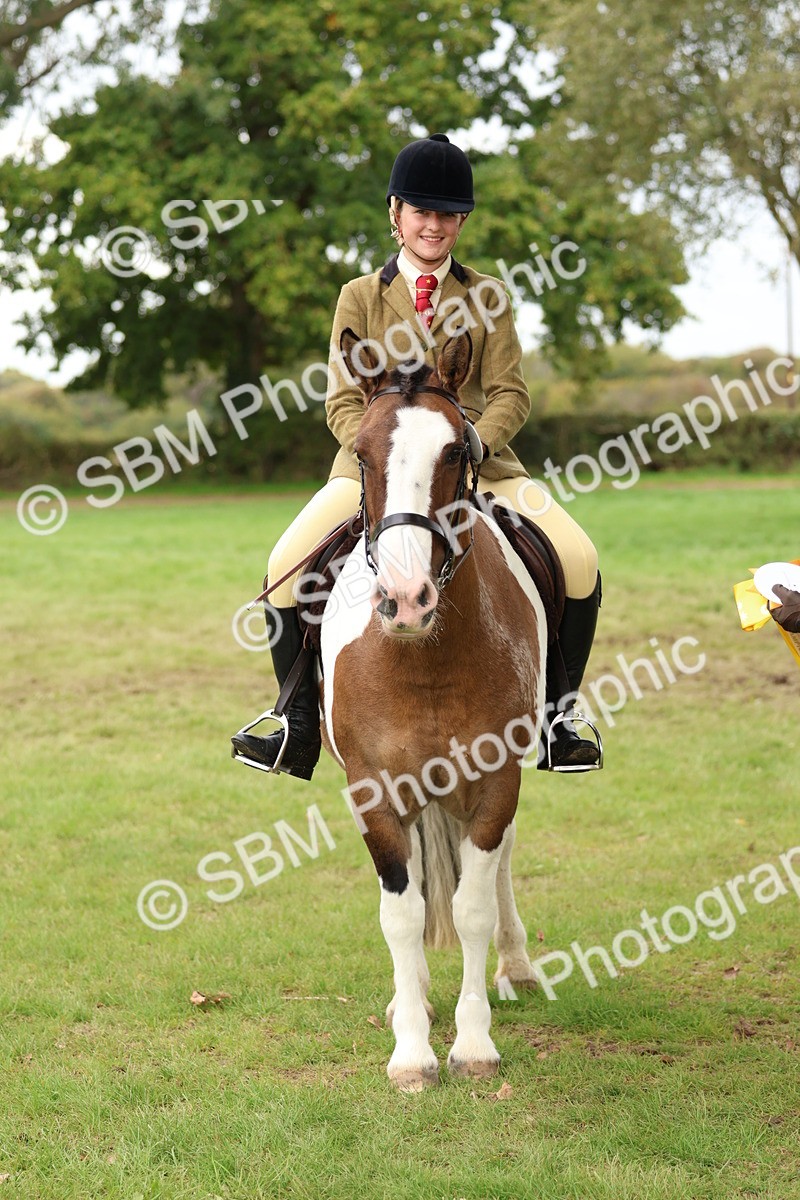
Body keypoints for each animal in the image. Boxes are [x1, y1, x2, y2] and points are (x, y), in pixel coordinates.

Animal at [318, 327, 546, 1092]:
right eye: (362, 452)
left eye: (456, 451)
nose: (405, 600)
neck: (424, 657)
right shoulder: (373, 788)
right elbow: (400, 912)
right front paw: (412, 1051)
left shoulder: (497, 779)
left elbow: (473, 906)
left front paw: (473, 1044)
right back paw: (406, 997)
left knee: (497, 868)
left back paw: (516, 968)